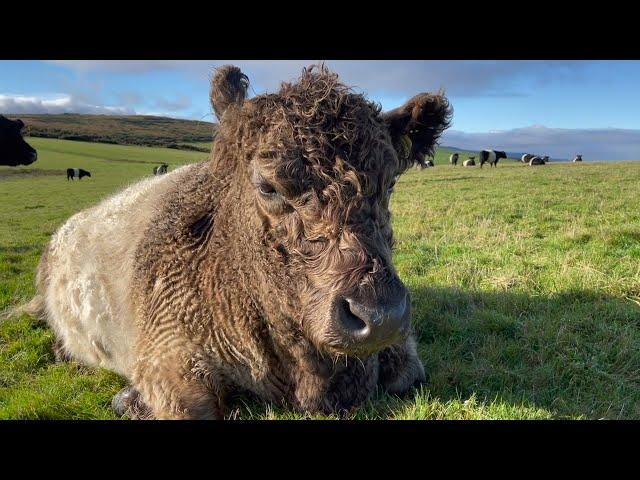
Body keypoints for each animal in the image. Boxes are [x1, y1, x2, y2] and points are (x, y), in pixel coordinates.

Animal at [27, 64, 452, 420]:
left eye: (391, 181)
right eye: (267, 186)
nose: (379, 317)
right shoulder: (168, 356)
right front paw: (131, 400)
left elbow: (409, 374)